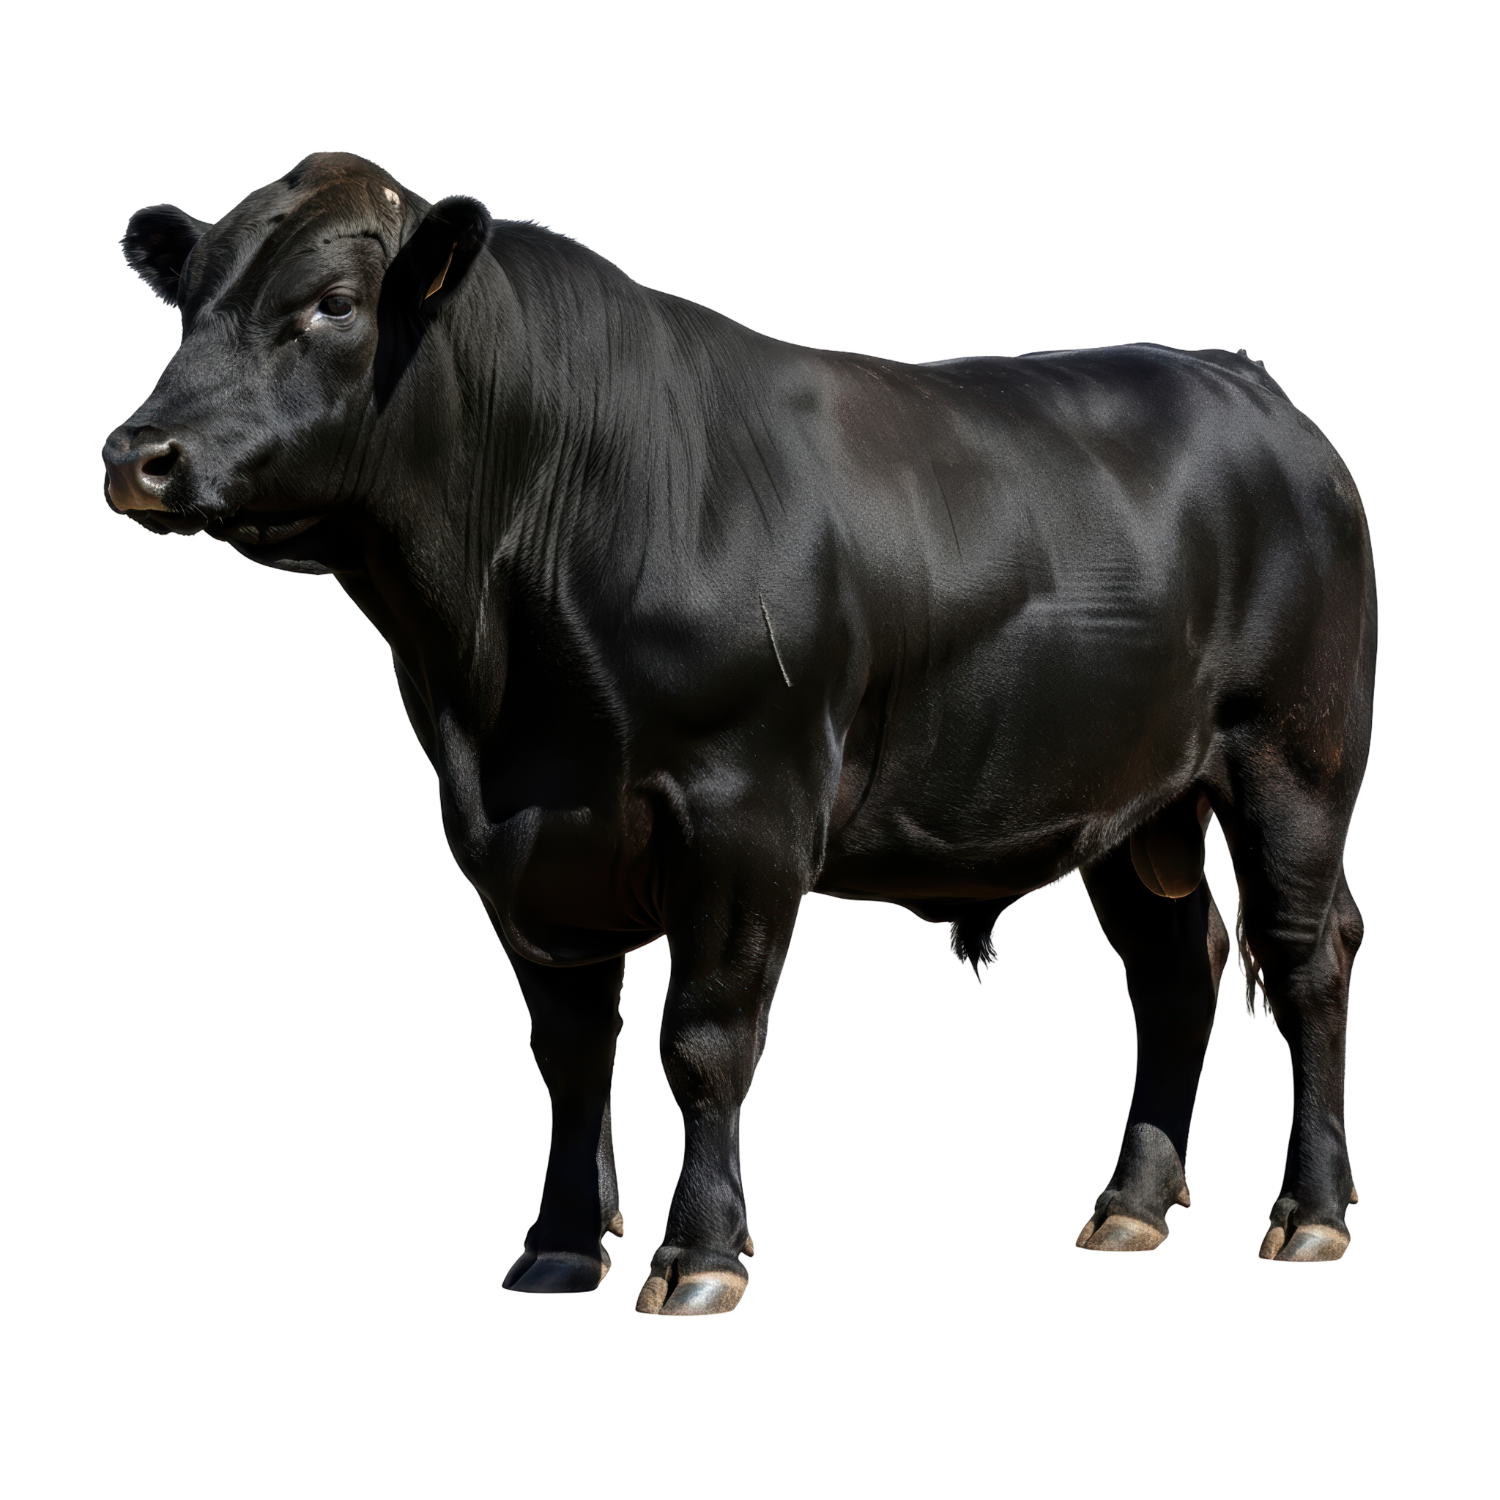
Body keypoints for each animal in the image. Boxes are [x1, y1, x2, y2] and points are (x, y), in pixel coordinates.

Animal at [103, 151, 1375, 1314]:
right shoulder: (521, 846)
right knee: (1178, 976)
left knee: (1306, 960)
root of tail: (1240, 376)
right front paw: (560, 1249)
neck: (495, 688)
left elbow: (703, 1042)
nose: (136, 455)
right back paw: (1130, 1208)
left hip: (1296, 759)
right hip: (1130, 803)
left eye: (332, 302)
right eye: (188, 302)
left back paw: (1310, 1215)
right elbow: (572, 1059)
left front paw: (700, 1256)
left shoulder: (743, 812)